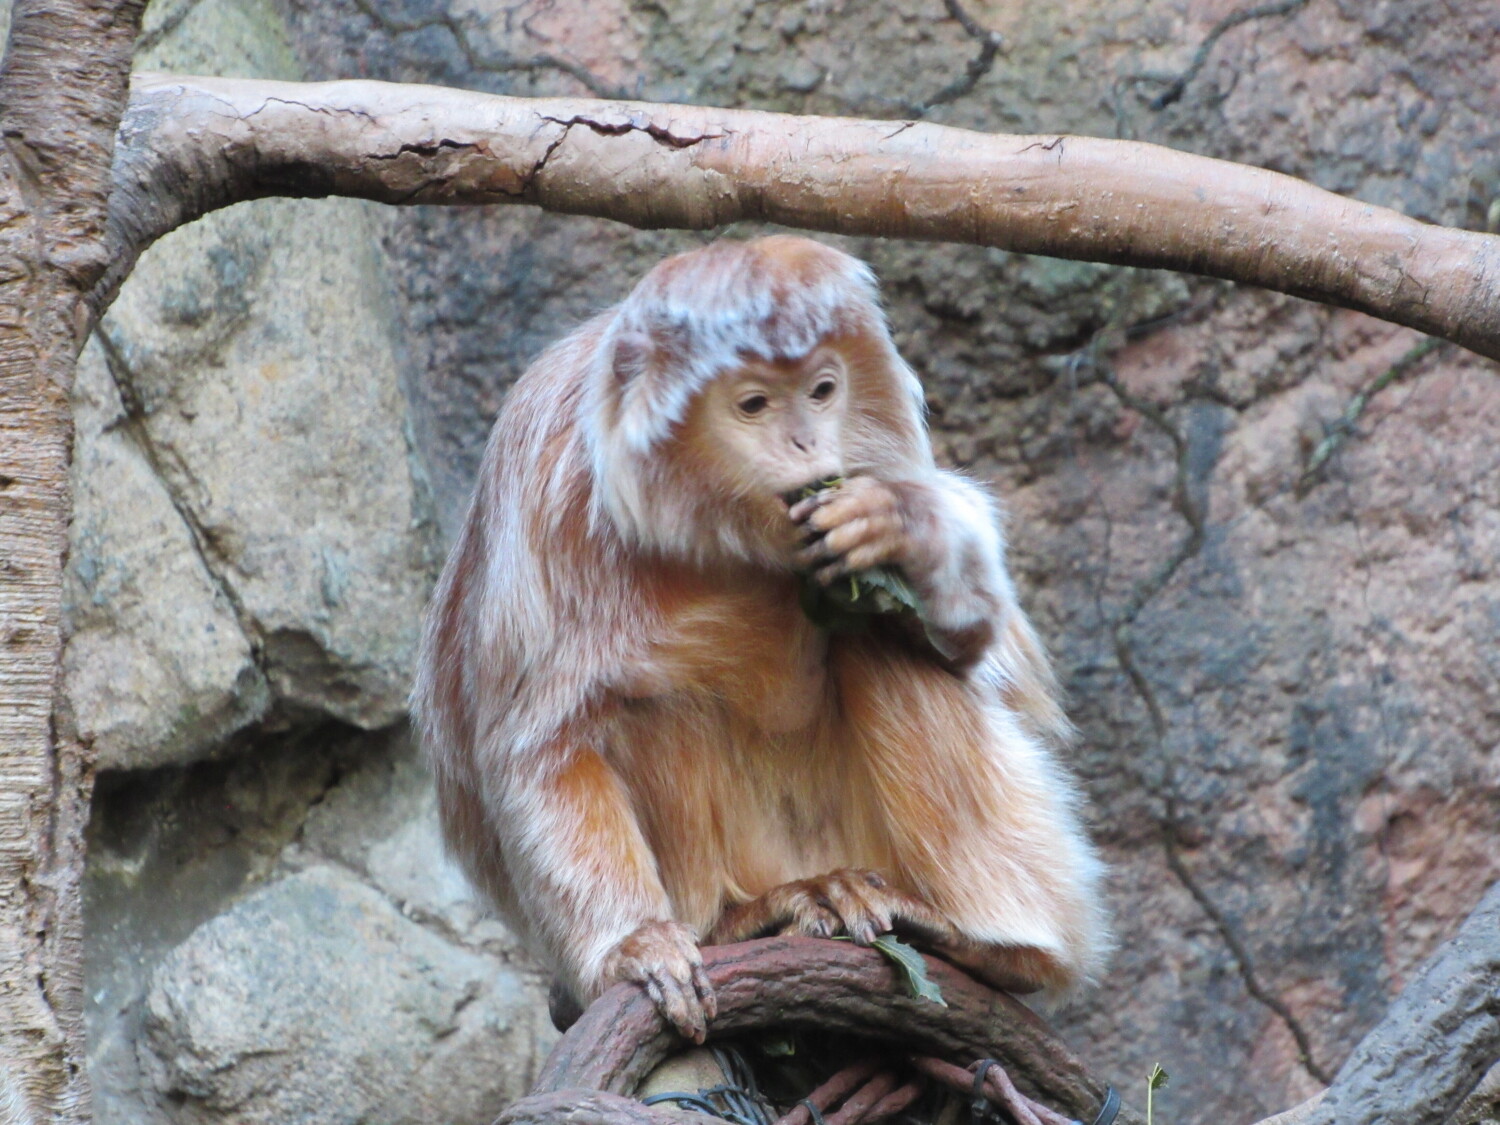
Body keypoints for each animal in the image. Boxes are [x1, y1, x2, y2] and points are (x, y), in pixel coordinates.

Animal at [412, 235, 1108, 1044]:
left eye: (822, 390)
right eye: (753, 404)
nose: (805, 442)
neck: (718, 520)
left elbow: (979, 641)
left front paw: (900, 526)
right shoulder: (546, 487)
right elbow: (539, 747)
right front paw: (634, 947)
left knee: (873, 627)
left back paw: (995, 944)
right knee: (645, 700)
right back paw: (744, 919)